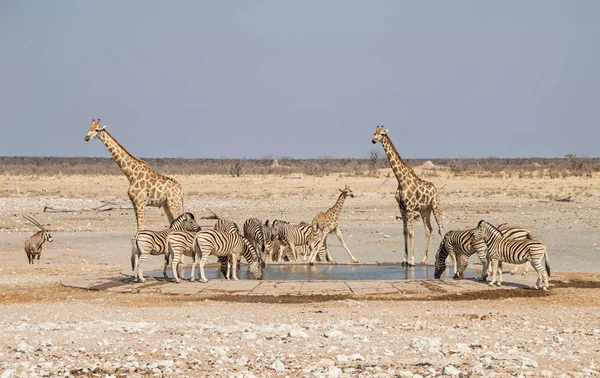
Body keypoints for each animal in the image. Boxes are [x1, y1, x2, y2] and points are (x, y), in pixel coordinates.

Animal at [370, 125, 446, 266]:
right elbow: (405, 232)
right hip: (425, 210)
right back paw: (424, 259)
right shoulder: (402, 208)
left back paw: (447, 259)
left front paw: (411, 260)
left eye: (383, 134)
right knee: (429, 229)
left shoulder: (410, 208)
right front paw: (404, 259)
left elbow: (411, 233)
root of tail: (435, 189)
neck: (400, 180)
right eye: (374, 133)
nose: (373, 140)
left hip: (436, 206)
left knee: (441, 229)